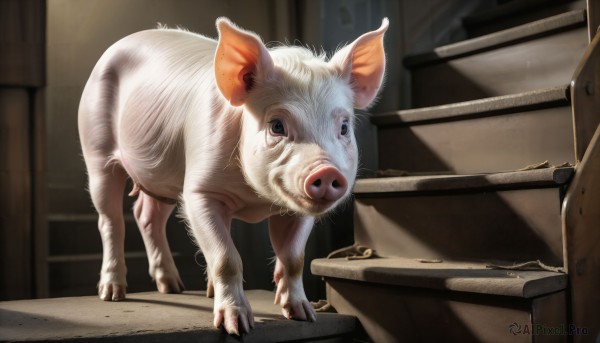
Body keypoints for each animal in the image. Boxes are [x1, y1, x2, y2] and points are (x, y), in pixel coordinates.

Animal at [78, 16, 390, 336]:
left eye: (344, 127)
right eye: (277, 126)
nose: (326, 171)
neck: (255, 199)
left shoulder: (298, 210)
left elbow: (294, 258)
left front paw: (304, 315)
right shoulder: (198, 192)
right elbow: (226, 257)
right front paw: (237, 326)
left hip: (160, 177)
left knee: (146, 215)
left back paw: (174, 287)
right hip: (96, 150)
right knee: (110, 220)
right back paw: (113, 293)